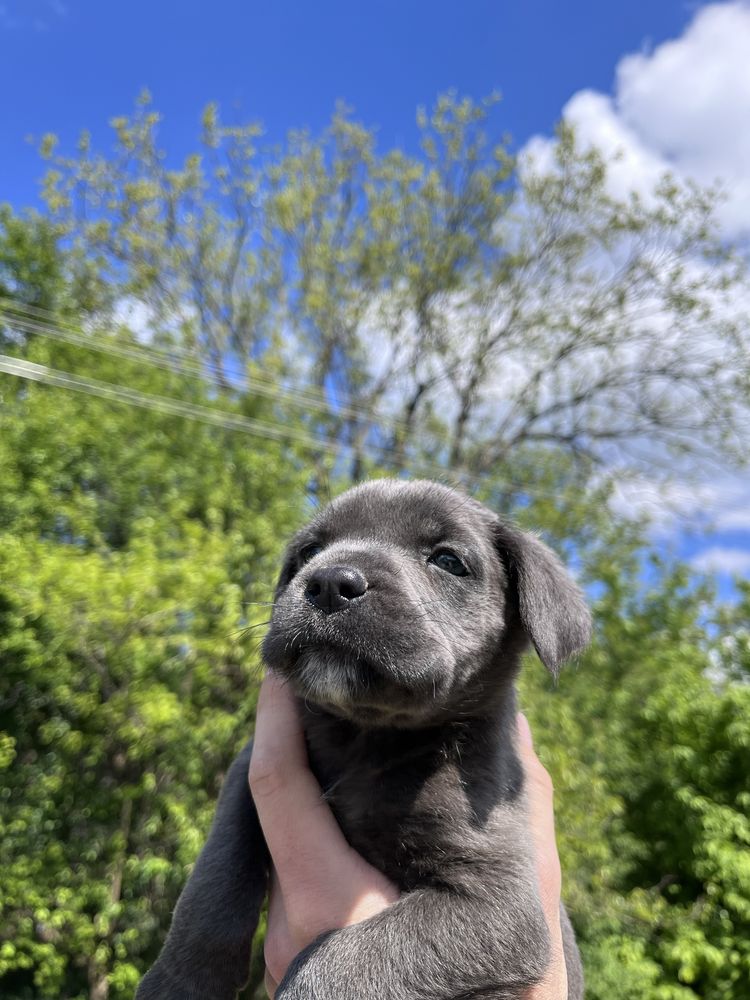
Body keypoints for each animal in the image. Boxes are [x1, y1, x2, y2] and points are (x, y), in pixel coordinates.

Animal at [138, 480, 592, 996]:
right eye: (309, 551)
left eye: (448, 560)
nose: (330, 582)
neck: (368, 737)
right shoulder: (247, 773)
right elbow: (214, 878)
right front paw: (178, 982)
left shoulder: (499, 903)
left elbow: (339, 961)